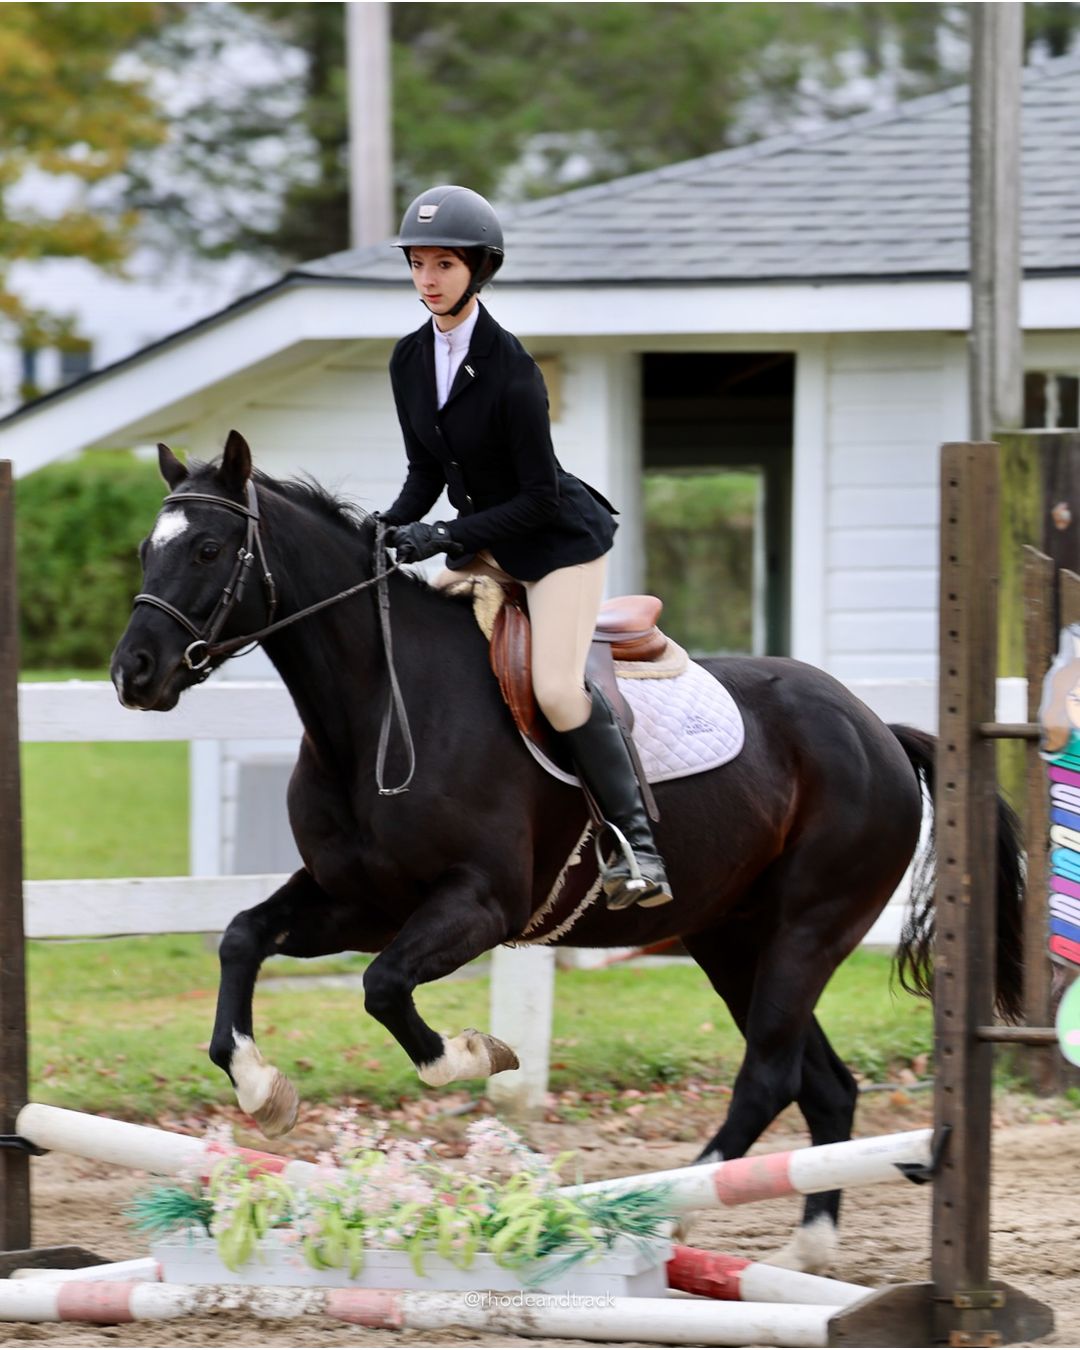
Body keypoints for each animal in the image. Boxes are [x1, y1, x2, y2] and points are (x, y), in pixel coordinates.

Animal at [110, 431, 1024, 1273]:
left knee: (767, 1073)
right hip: (732, 936)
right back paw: (807, 1248)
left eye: (207, 549)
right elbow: (243, 937)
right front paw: (262, 1088)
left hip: (810, 928)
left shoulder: (478, 904)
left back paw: (668, 1213)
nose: (133, 674)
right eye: (148, 548)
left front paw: (473, 1056)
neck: (378, 708)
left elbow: (384, 987)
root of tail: (879, 729)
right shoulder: (359, 901)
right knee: (822, 1084)